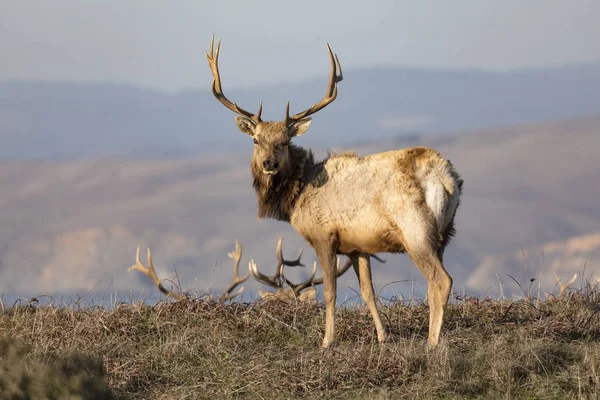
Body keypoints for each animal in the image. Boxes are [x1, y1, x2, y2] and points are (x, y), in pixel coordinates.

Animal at [206, 35, 464, 346]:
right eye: (256, 140)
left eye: (284, 141)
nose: (268, 163)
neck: (298, 196)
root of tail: (446, 179)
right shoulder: (357, 245)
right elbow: (368, 292)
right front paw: (382, 338)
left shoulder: (324, 236)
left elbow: (330, 292)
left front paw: (327, 341)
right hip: (445, 233)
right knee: (433, 283)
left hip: (416, 230)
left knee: (442, 280)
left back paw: (432, 343)